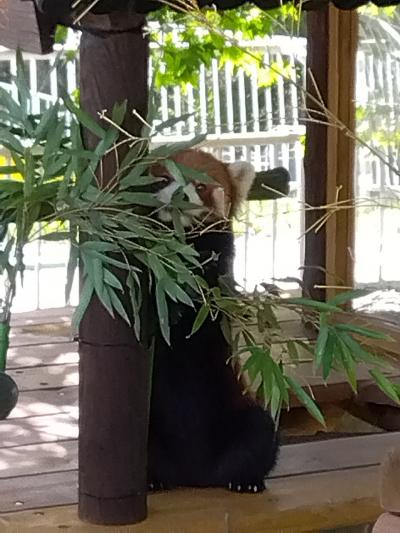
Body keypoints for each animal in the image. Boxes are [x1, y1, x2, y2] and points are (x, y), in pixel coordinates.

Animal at [147, 148, 278, 492]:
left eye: (201, 185)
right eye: (163, 179)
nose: (180, 195)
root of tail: (195, 475)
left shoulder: (218, 268)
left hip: (240, 409)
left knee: (260, 431)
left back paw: (245, 479)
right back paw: (153, 479)